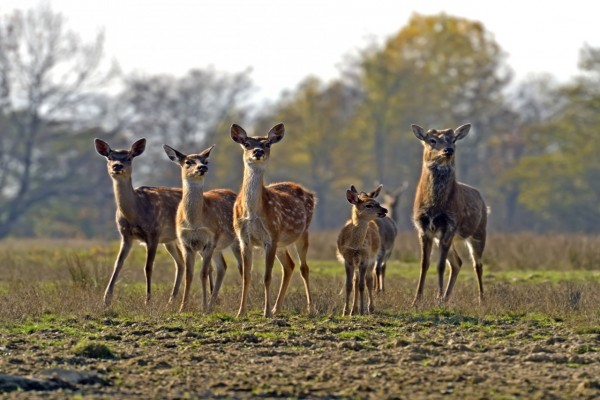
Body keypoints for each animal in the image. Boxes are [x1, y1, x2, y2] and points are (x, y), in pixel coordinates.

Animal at [94, 138, 185, 306]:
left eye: (129, 157)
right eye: (109, 157)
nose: (117, 166)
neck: (136, 213)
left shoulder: (153, 233)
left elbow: (148, 267)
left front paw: (147, 301)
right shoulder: (126, 235)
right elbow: (118, 263)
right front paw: (106, 299)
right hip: (170, 240)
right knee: (181, 263)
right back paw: (171, 301)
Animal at [163, 144, 243, 312]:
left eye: (206, 160)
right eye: (188, 161)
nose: (202, 167)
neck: (194, 222)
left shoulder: (210, 240)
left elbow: (203, 273)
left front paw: (203, 307)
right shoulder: (186, 243)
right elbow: (189, 275)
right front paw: (183, 308)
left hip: (234, 240)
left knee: (241, 266)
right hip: (217, 247)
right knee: (222, 267)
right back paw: (212, 305)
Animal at [230, 123, 316, 318]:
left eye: (268, 143)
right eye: (246, 143)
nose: (258, 151)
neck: (252, 212)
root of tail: (310, 193)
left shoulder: (270, 236)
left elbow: (267, 277)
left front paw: (266, 312)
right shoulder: (244, 239)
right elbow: (246, 276)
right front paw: (241, 312)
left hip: (302, 232)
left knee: (304, 268)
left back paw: (310, 308)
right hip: (281, 242)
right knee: (289, 266)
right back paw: (278, 308)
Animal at [338, 185, 390, 316]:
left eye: (378, 202)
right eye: (368, 205)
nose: (385, 210)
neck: (355, 246)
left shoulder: (365, 258)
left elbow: (363, 285)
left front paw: (362, 310)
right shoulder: (347, 258)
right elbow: (349, 285)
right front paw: (345, 311)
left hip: (372, 258)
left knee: (368, 281)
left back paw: (369, 308)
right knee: (356, 281)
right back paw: (353, 310)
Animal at [410, 123, 490, 304]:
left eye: (453, 140)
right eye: (431, 140)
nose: (448, 150)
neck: (434, 207)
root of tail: (483, 201)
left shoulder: (450, 225)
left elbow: (439, 265)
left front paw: (437, 297)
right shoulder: (423, 228)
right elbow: (424, 264)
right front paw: (417, 300)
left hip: (479, 231)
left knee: (477, 265)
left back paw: (481, 299)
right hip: (446, 238)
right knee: (457, 263)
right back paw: (447, 297)